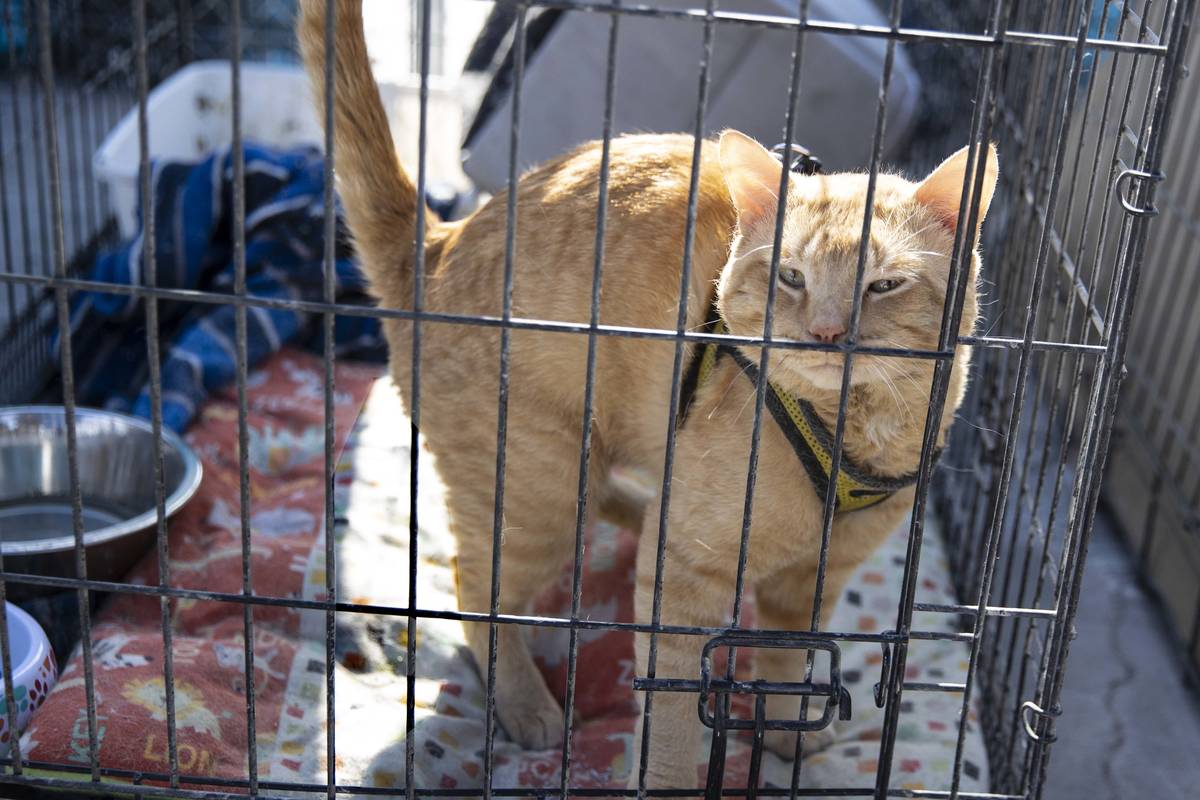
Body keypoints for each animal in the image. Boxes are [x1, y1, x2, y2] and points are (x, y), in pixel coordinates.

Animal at [297, 0, 993, 786]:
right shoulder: (682, 578)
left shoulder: (813, 581)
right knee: (476, 588)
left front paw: (788, 727)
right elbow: (672, 715)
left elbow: (791, 656)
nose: (824, 332)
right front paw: (669, 780)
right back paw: (525, 701)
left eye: (884, 285)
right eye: (790, 276)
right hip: (536, 484)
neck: (854, 431)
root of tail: (437, 245)